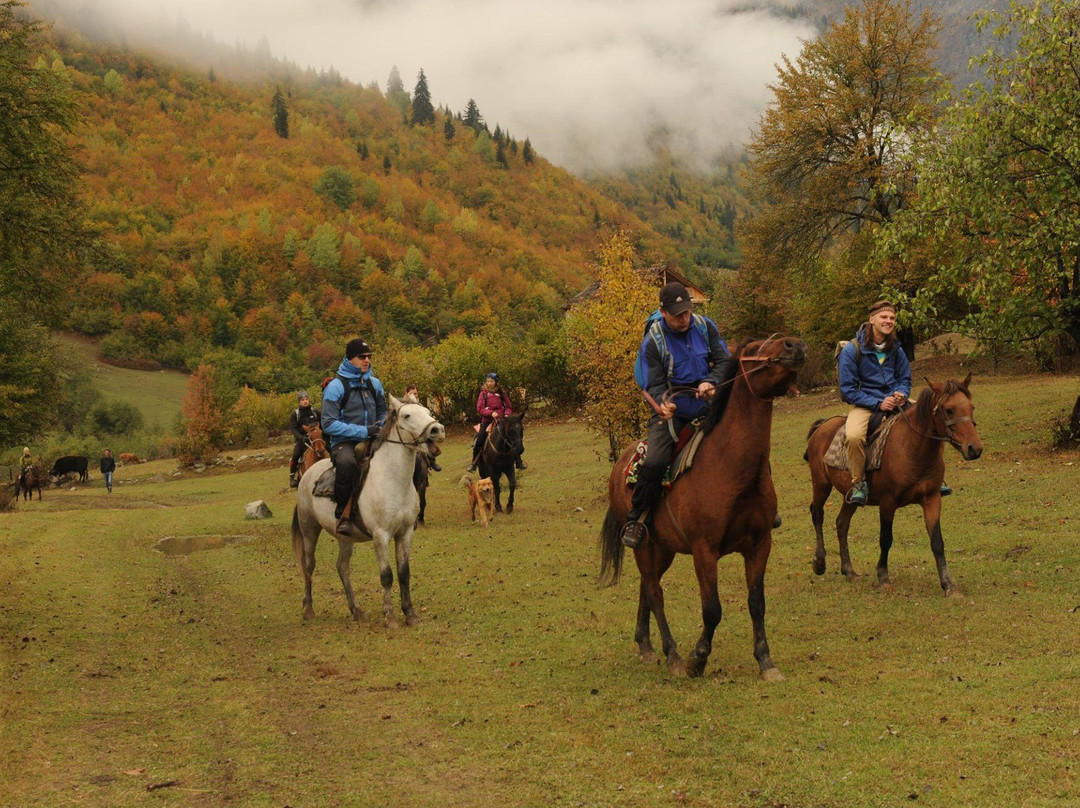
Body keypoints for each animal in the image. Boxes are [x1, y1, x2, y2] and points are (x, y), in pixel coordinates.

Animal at [289, 395, 444, 626]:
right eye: (407, 415)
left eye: (427, 411)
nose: (437, 429)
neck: (393, 480)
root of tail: (308, 475)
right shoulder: (381, 535)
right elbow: (387, 575)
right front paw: (389, 615)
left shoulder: (405, 533)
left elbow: (404, 573)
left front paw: (410, 613)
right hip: (309, 529)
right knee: (308, 565)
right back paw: (308, 609)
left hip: (344, 537)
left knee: (342, 567)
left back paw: (356, 610)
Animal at [596, 334, 807, 682]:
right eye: (754, 349)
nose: (795, 346)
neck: (730, 467)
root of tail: (621, 464)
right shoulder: (704, 549)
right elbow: (712, 609)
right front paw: (697, 658)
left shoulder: (760, 544)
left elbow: (756, 603)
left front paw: (765, 661)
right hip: (643, 545)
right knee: (655, 594)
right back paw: (672, 656)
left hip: (662, 548)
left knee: (647, 587)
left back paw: (646, 645)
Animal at [807, 375, 984, 596]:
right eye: (949, 410)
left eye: (971, 407)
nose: (974, 449)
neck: (912, 448)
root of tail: (823, 425)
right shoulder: (887, 502)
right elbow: (886, 538)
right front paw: (883, 577)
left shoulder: (932, 498)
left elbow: (937, 541)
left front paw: (948, 585)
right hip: (821, 484)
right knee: (817, 514)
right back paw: (819, 563)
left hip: (850, 494)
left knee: (841, 523)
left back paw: (848, 571)